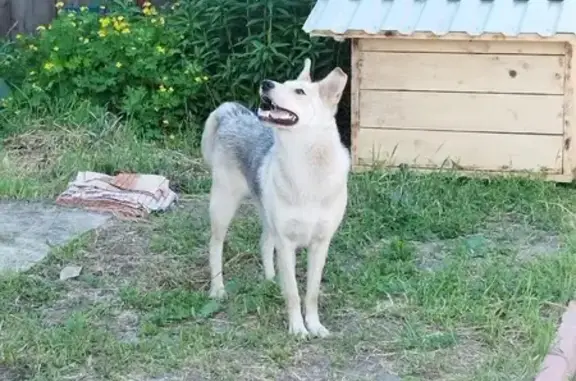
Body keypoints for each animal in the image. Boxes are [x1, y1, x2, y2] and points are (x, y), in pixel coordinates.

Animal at [200, 58, 348, 336]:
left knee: (264, 242)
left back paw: (271, 281)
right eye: (282, 83)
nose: (266, 83)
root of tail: (233, 113)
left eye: (299, 91)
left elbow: (311, 293)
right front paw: (298, 328)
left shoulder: (320, 244)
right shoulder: (287, 244)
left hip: (265, 214)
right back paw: (218, 289)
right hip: (223, 207)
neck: (306, 171)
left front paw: (315, 325)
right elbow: (294, 293)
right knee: (215, 246)